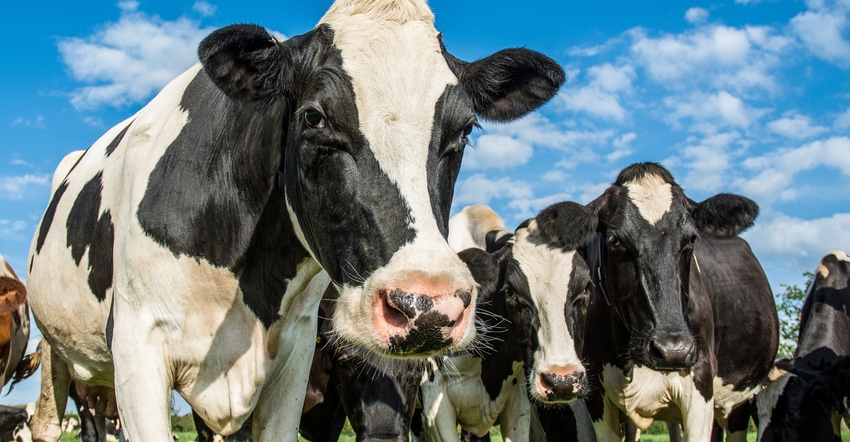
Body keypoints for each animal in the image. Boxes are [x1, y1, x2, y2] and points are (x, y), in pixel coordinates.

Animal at [23, 1, 564, 440]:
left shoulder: (293, 357)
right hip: (56, 352)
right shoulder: (138, 347)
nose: (427, 306)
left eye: (465, 129)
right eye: (314, 117)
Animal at [572, 163, 780, 442]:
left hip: (737, 401)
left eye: (691, 240)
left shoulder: (701, 382)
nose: (673, 350)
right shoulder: (597, 394)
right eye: (615, 240)